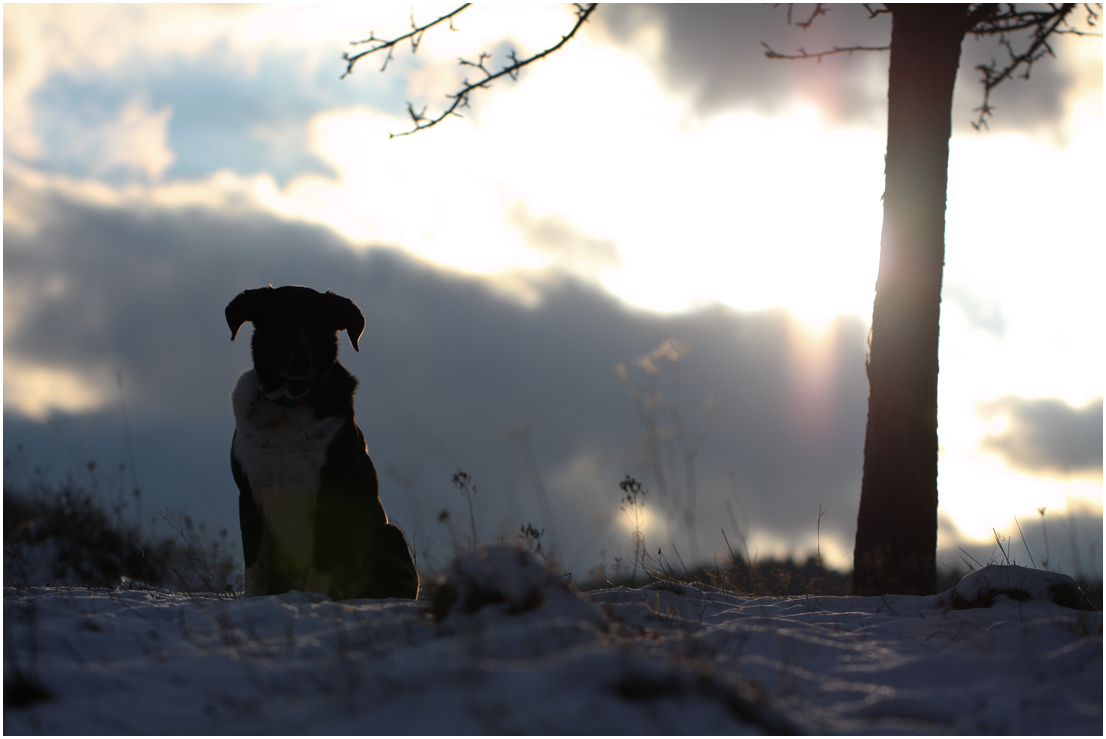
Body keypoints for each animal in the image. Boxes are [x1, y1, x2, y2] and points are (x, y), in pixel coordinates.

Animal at [226, 285, 415, 601]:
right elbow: (253, 566)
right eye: (278, 321)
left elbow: (320, 562)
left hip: (390, 535)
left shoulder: (330, 492)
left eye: (317, 324)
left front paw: (313, 600)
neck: (288, 406)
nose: (301, 360)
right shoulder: (247, 495)